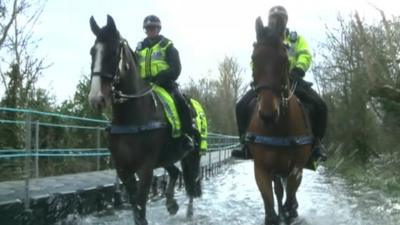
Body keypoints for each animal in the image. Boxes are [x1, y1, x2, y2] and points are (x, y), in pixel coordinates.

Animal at [86, 15, 203, 225]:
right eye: (93, 52)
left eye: (113, 52)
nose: (96, 98)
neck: (132, 118)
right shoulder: (123, 169)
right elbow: (135, 207)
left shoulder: (145, 168)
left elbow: (140, 205)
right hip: (166, 156)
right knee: (175, 173)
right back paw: (171, 204)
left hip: (192, 154)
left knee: (191, 181)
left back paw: (188, 212)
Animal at [245, 16, 314, 224]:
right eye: (254, 59)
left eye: (284, 60)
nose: (268, 115)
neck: (277, 128)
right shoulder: (261, 169)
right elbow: (271, 207)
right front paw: (277, 215)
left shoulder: (296, 169)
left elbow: (290, 197)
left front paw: (290, 212)